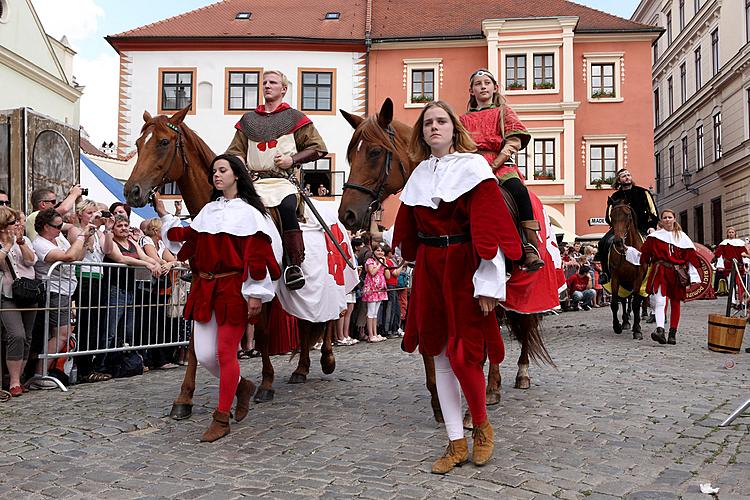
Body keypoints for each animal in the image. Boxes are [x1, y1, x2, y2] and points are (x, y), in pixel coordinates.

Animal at [125, 107, 340, 420]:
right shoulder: (203, 283)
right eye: (139, 144)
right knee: (306, 324)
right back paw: (301, 369)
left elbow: (262, 333)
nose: (132, 192)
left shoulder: (261, 288)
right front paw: (184, 398)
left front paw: (265, 384)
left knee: (330, 318)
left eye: (164, 142)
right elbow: (196, 343)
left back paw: (327, 358)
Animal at [608, 200, 648, 340]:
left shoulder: (638, 278)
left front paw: (637, 330)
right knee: (625, 300)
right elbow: (615, 303)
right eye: (612, 216)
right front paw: (617, 326)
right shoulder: (615, 277)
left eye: (628, 215)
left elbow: (636, 303)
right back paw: (625, 322)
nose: (618, 241)